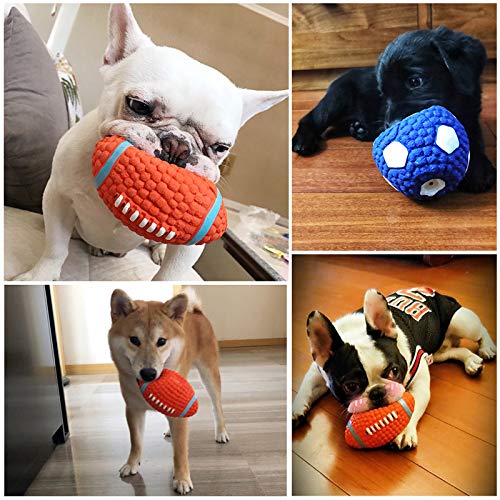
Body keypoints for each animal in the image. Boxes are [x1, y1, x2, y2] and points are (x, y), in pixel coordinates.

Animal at [109, 288, 229, 494]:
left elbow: (180, 451)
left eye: (162, 341)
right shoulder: (133, 409)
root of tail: (196, 312)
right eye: (134, 340)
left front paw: (181, 479)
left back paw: (221, 432)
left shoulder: (179, 418)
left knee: (217, 407)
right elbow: (136, 441)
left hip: (209, 373)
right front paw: (132, 464)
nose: (148, 373)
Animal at [292, 25, 496, 194]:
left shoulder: (472, 115)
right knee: (312, 118)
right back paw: (303, 140)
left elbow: (474, 137)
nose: (392, 127)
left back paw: (360, 130)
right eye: (383, 93)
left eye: (415, 81)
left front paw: (478, 168)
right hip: (338, 96)